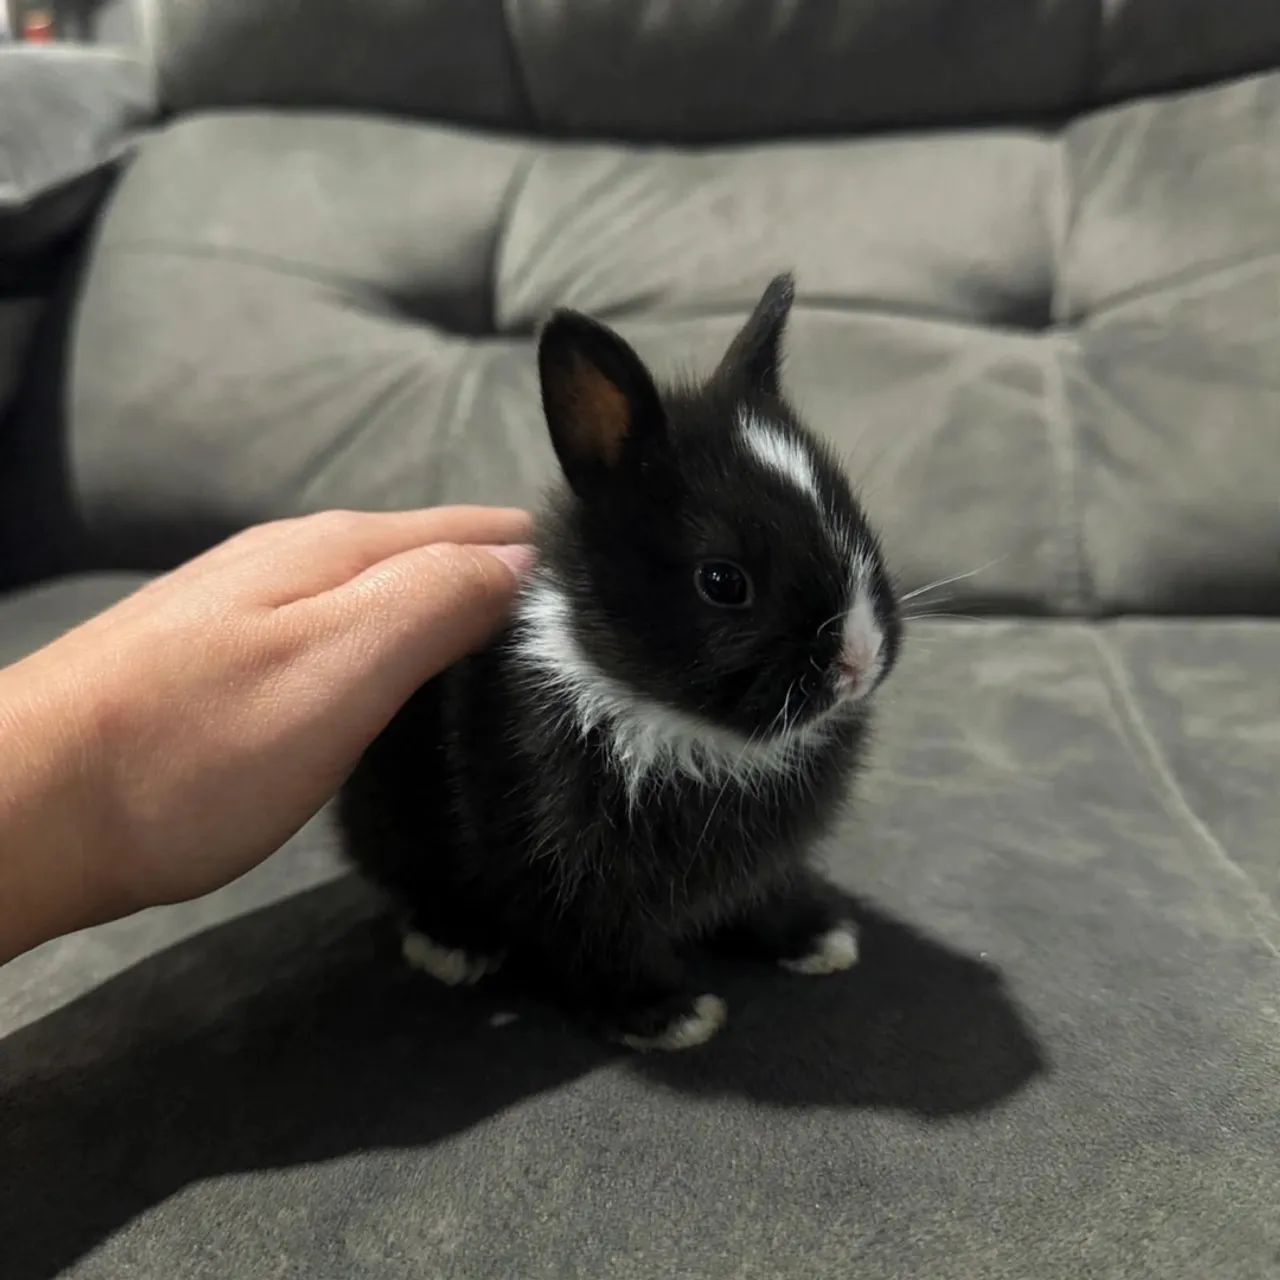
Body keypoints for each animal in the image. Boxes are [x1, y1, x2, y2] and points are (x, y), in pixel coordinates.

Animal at [339, 273, 902, 1050]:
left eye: (855, 521)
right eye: (722, 581)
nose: (859, 660)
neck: (686, 729)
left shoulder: (763, 867)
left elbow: (766, 896)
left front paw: (820, 939)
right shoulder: (570, 873)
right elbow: (598, 945)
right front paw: (672, 1016)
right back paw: (454, 948)